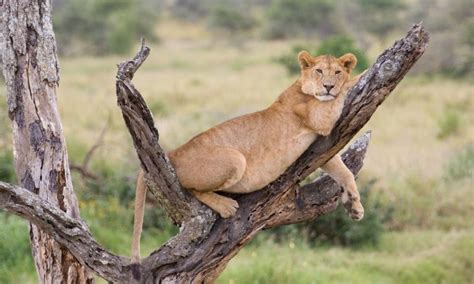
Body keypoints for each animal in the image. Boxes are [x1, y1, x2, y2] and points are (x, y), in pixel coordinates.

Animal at [131, 51, 364, 262]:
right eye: (319, 71)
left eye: (337, 72)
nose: (328, 86)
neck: (301, 87)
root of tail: (173, 151)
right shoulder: (318, 117)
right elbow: (346, 90)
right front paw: (360, 76)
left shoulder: (321, 145)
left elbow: (344, 173)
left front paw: (355, 207)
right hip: (235, 158)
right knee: (191, 188)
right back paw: (226, 206)